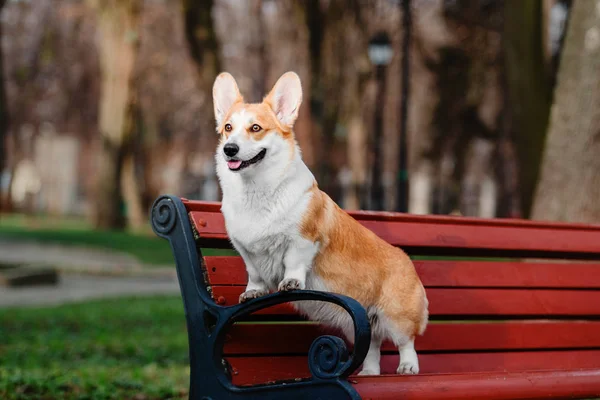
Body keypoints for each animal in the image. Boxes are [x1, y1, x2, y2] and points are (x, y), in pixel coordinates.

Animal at [211, 71, 426, 376]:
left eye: (255, 128)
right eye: (228, 127)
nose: (230, 150)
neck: (256, 191)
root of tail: (408, 261)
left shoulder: (303, 239)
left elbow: (293, 262)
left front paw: (290, 282)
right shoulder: (246, 250)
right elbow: (254, 272)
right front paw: (253, 292)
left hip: (395, 314)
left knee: (406, 341)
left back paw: (408, 366)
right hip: (364, 322)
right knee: (372, 344)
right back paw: (369, 372)